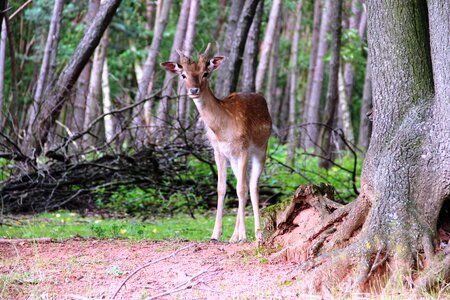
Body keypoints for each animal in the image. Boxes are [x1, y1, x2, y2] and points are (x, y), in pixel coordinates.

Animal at [161, 42, 270, 244]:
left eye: (205, 73)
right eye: (183, 74)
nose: (194, 90)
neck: (223, 130)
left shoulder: (243, 148)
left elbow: (241, 189)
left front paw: (244, 235)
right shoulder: (218, 151)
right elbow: (221, 188)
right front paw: (215, 234)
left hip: (261, 149)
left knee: (252, 186)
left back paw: (257, 233)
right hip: (234, 159)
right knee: (242, 184)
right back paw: (234, 235)